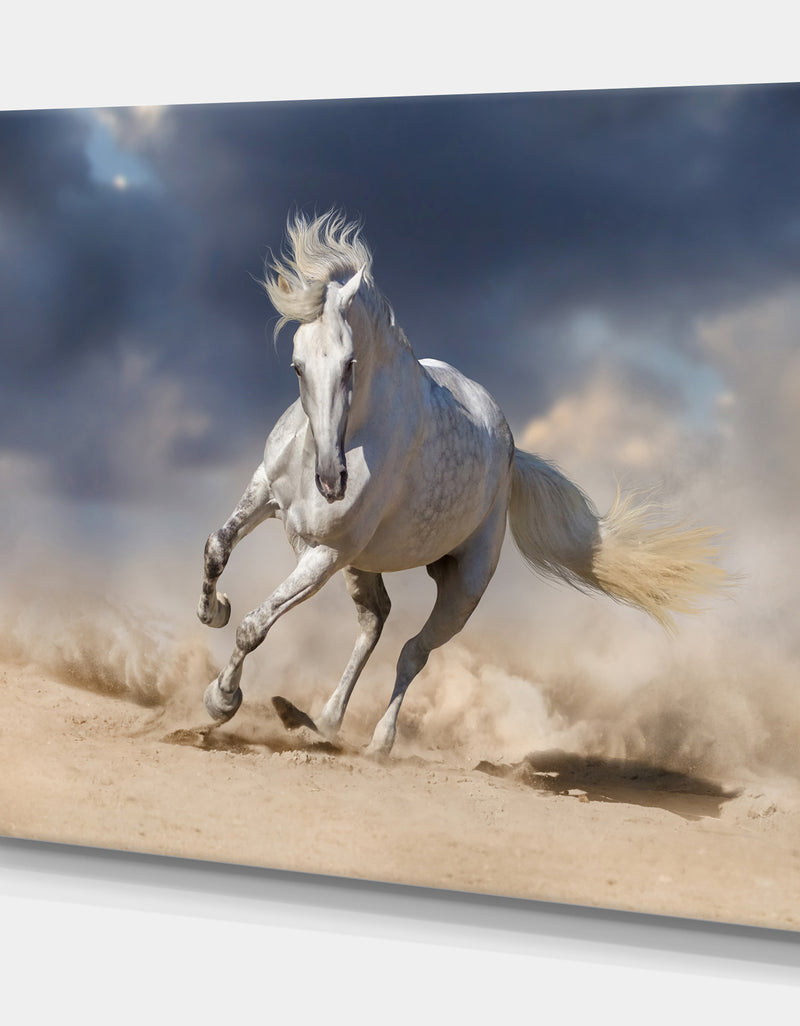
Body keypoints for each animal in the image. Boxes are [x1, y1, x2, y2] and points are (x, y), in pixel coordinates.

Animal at [197, 210, 725, 757]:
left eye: (350, 363)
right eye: (297, 366)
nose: (331, 481)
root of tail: (510, 452)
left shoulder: (324, 554)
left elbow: (255, 625)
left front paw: (222, 699)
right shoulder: (266, 493)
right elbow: (218, 547)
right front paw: (214, 611)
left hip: (461, 587)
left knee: (412, 652)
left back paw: (376, 743)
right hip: (363, 564)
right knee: (375, 621)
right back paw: (319, 721)